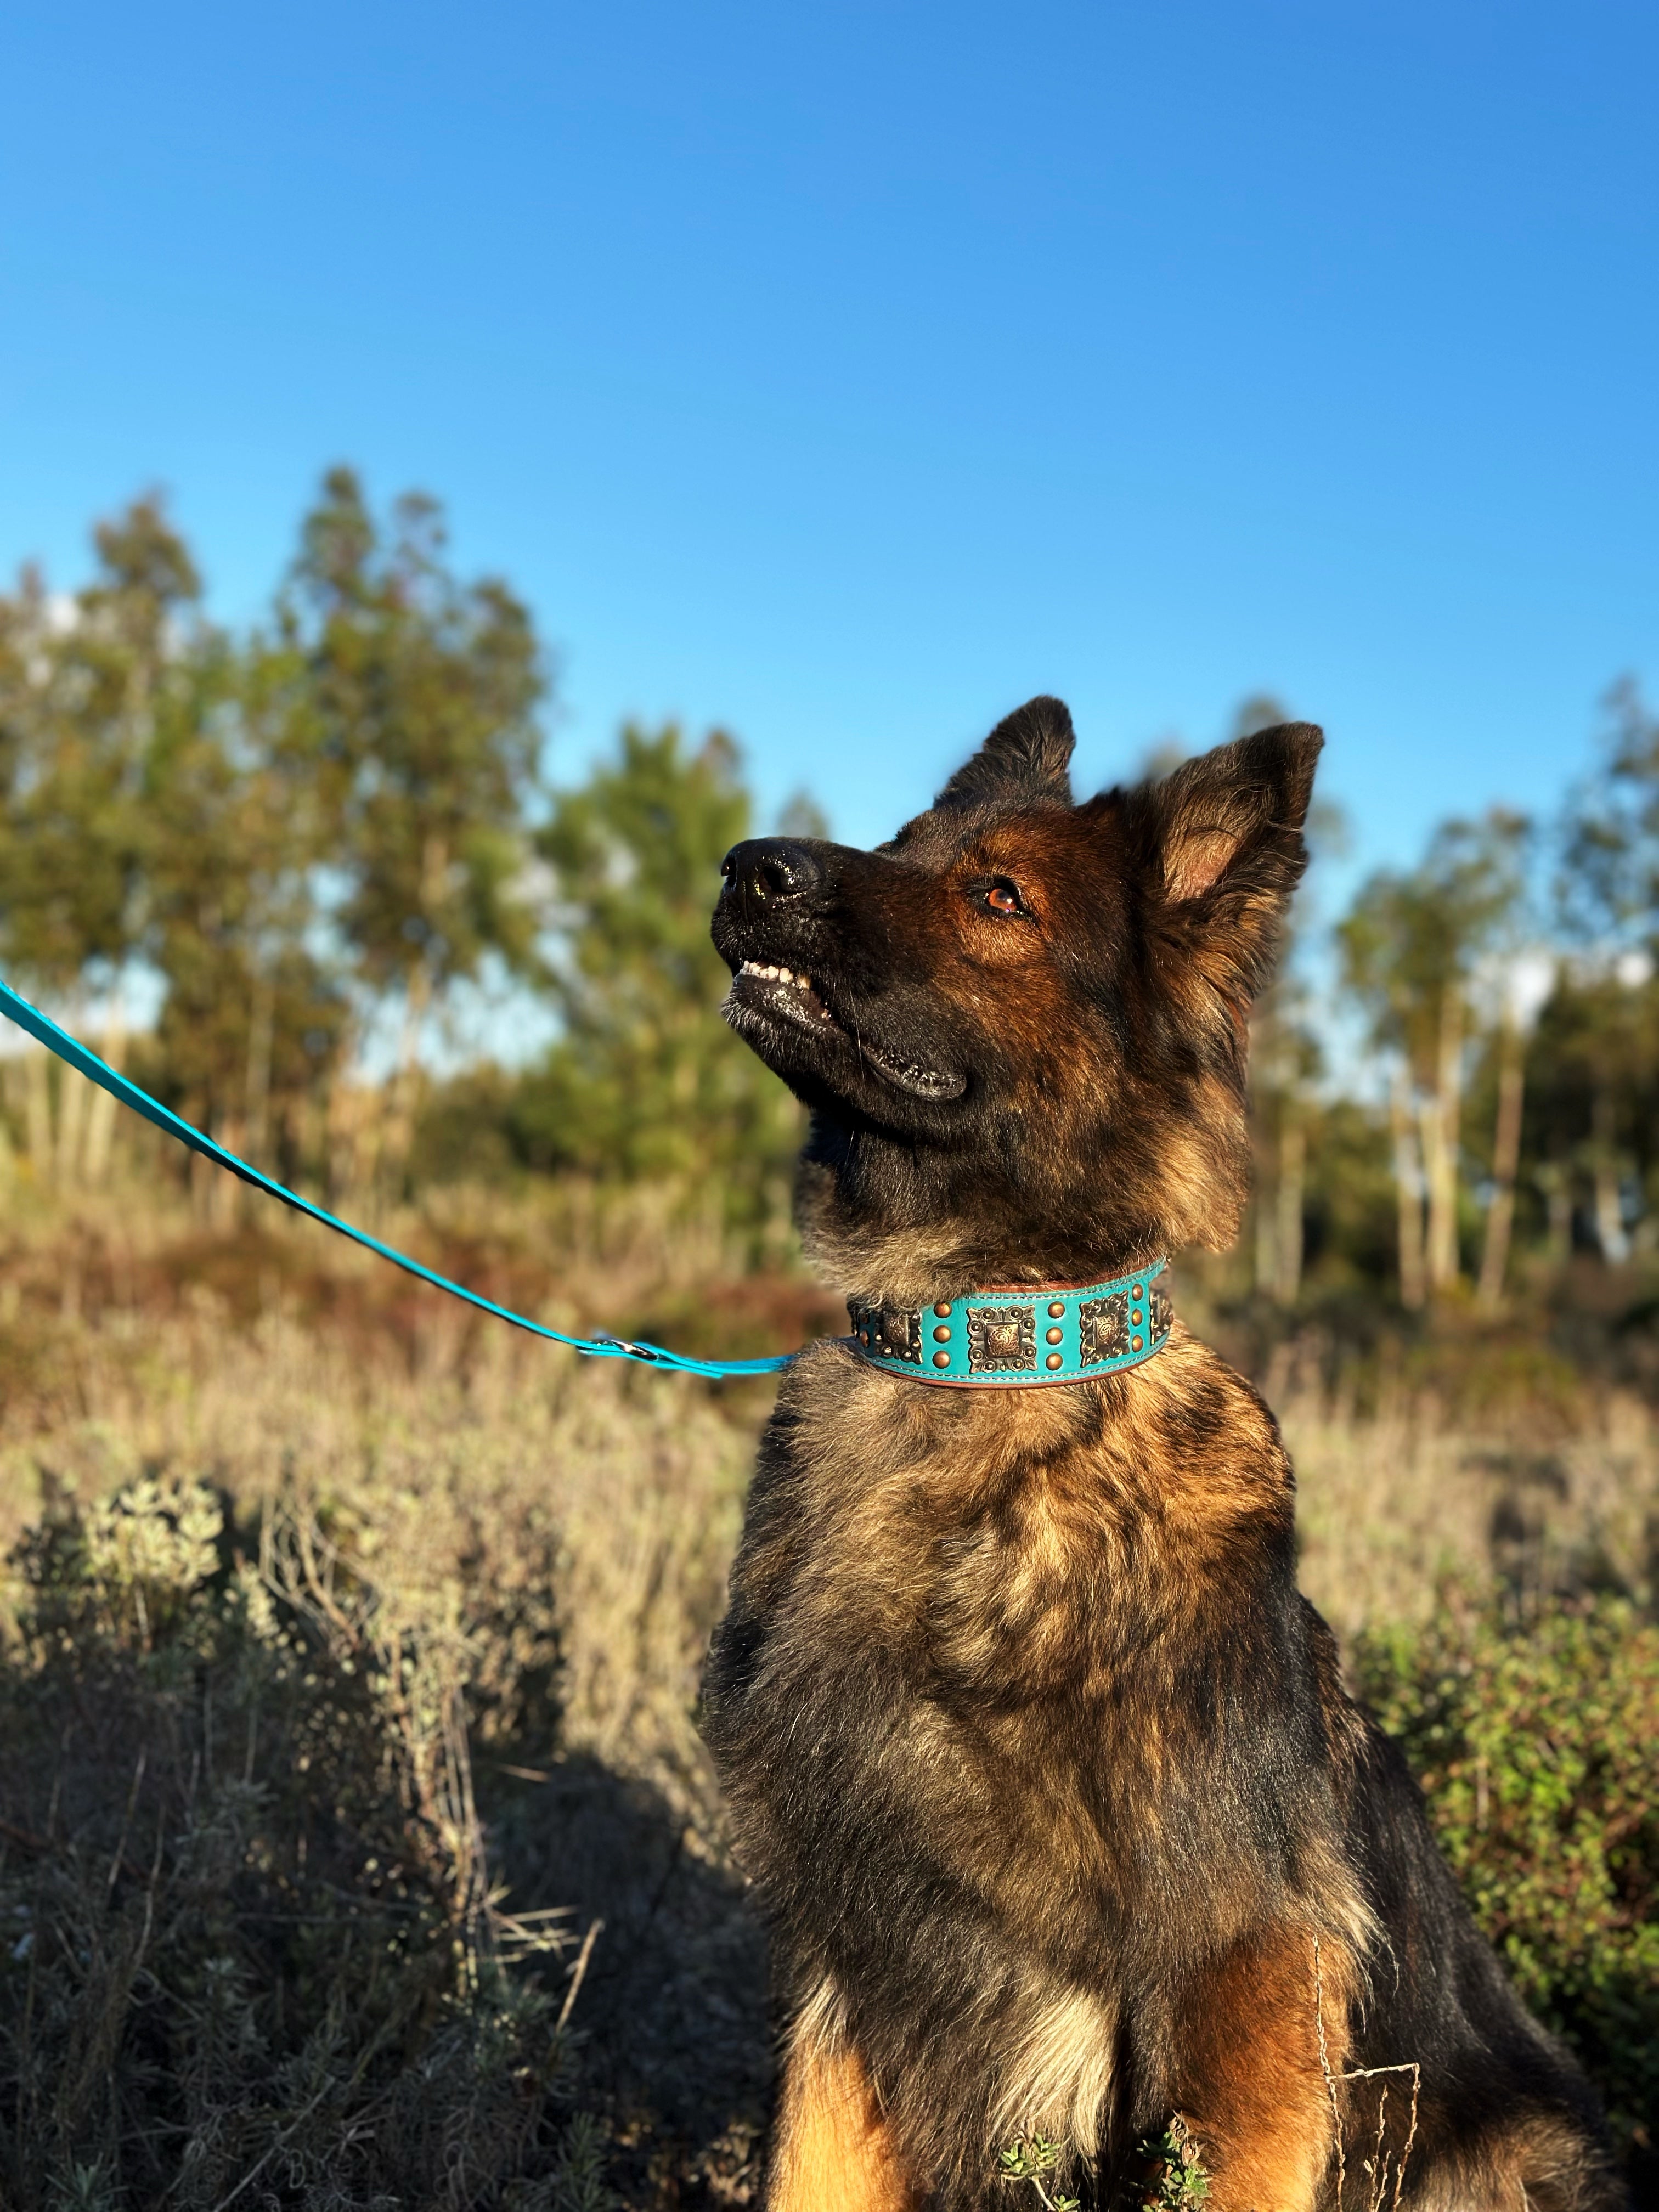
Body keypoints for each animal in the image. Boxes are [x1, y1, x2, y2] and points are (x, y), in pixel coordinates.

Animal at [703, 699, 1628, 2203]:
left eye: (999, 898)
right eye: (904, 844)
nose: (749, 869)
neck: (986, 1356)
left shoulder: (1237, 1970)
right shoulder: (851, 1967)